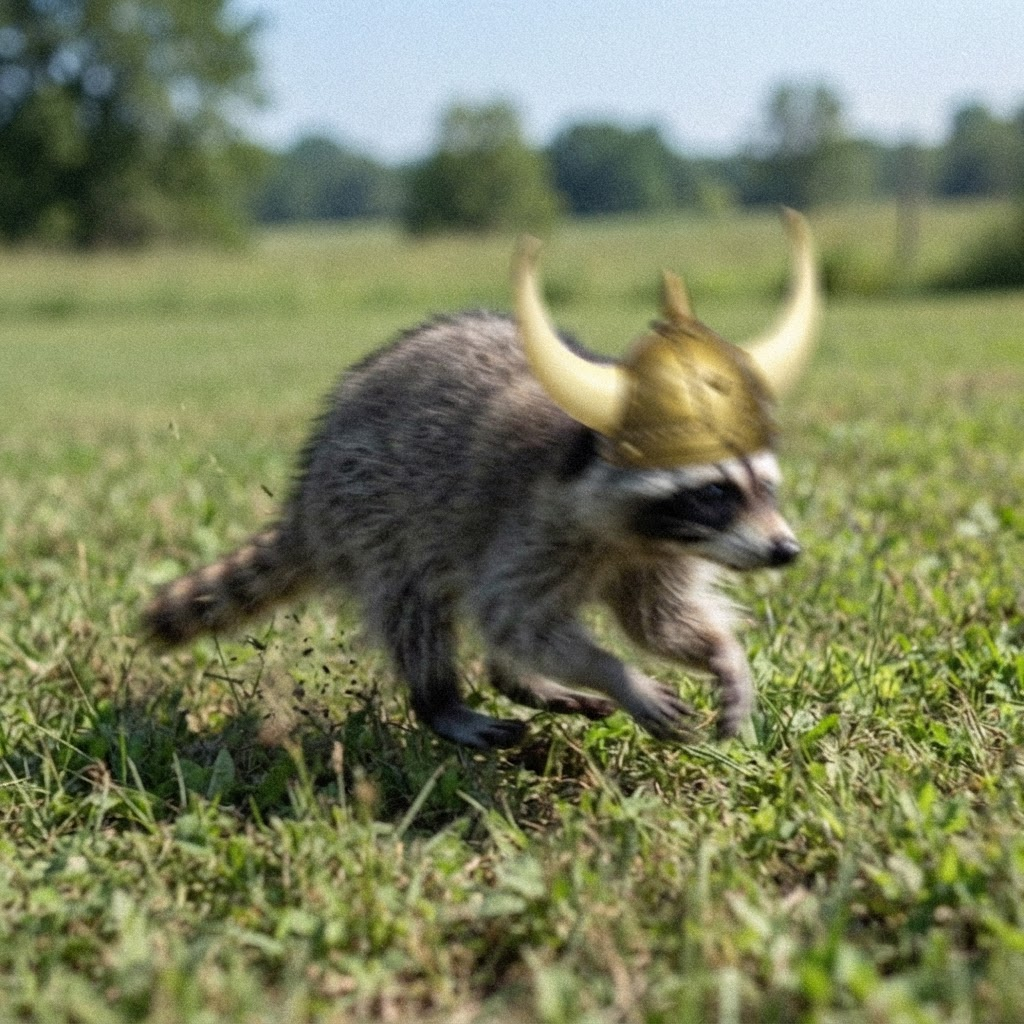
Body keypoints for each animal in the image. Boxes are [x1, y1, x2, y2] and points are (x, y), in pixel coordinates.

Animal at [145, 217, 819, 749]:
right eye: (716, 492)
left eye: (765, 486)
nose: (786, 550)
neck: (634, 534)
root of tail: (306, 494)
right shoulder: (533, 527)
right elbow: (516, 617)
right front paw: (616, 673)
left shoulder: (656, 557)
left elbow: (662, 622)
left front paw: (725, 658)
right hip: (369, 510)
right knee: (414, 609)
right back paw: (442, 702)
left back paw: (518, 681)